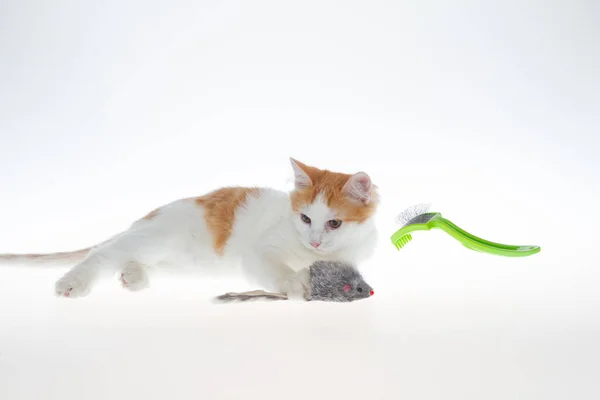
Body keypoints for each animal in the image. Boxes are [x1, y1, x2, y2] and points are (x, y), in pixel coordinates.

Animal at [0, 158, 380, 298]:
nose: (314, 242)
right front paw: (296, 284)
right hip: (155, 238)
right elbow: (277, 270)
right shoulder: (260, 252)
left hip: (174, 263)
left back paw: (133, 277)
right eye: (305, 219)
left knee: (131, 261)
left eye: (334, 223)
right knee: (101, 253)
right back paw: (73, 283)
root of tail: (145, 218)